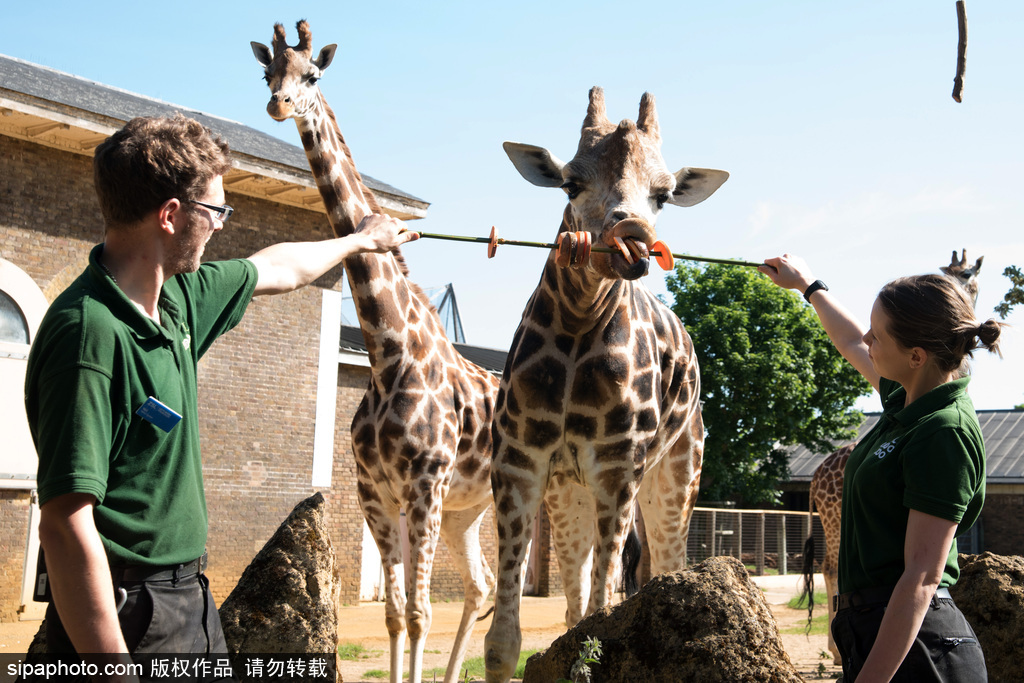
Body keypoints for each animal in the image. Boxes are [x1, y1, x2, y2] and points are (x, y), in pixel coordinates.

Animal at [251, 21, 499, 683]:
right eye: (267, 73)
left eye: (313, 75)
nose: (279, 104)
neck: (390, 354)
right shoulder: (376, 492)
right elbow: (393, 614)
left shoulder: (424, 486)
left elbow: (418, 613)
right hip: (470, 509)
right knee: (482, 587)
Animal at [481, 88, 729, 679]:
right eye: (571, 183)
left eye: (664, 194)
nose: (632, 236)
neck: (577, 327)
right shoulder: (519, 463)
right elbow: (505, 641)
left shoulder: (618, 471)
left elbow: (599, 622)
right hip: (568, 492)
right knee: (575, 597)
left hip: (675, 476)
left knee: (661, 565)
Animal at [798, 246, 983, 667]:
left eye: (970, 281)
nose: (966, 305)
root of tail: (815, 479)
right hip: (834, 517)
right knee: (830, 567)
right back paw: (835, 654)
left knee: (827, 567)